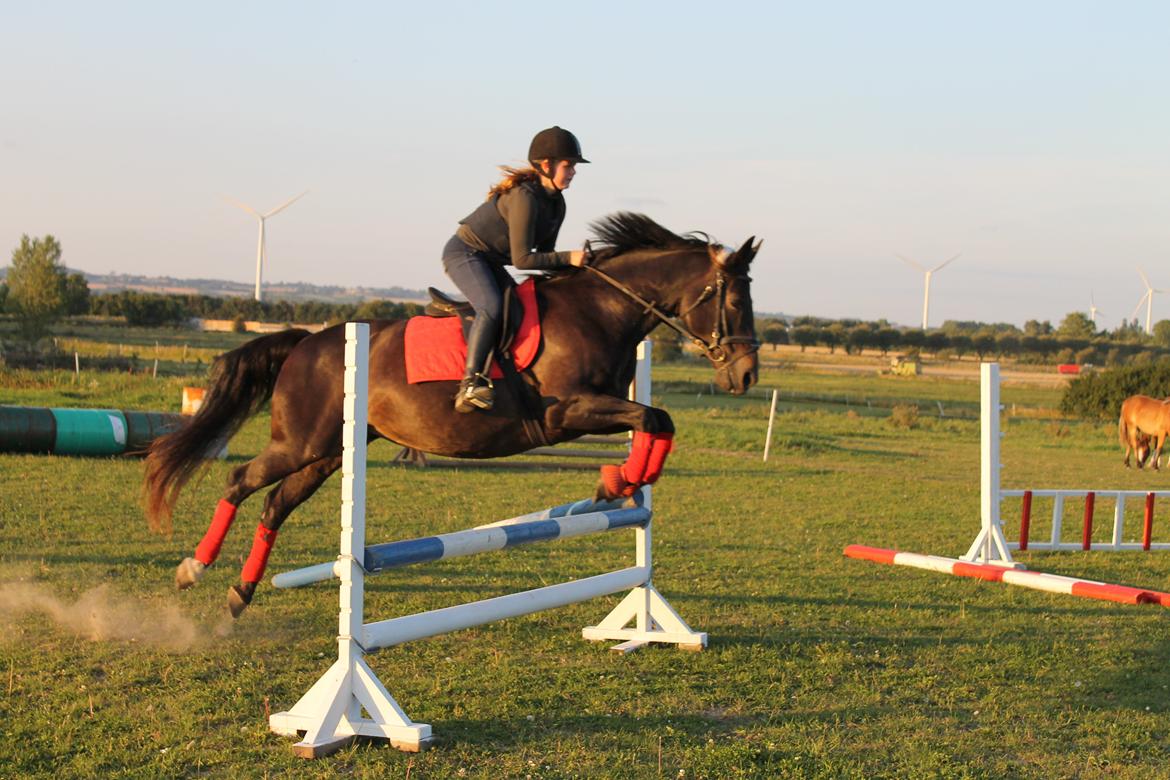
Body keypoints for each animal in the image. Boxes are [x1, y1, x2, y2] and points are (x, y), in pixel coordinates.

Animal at [141, 214, 762, 617]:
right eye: (734, 301)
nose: (746, 376)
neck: (600, 310)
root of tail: (307, 342)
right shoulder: (569, 412)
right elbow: (654, 418)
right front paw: (617, 482)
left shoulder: (595, 410)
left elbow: (657, 420)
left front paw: (623, 484)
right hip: (302, 443)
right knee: (239, 479)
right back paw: (193, 568)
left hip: (327, 453)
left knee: (275, 503)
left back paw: (239, 593)